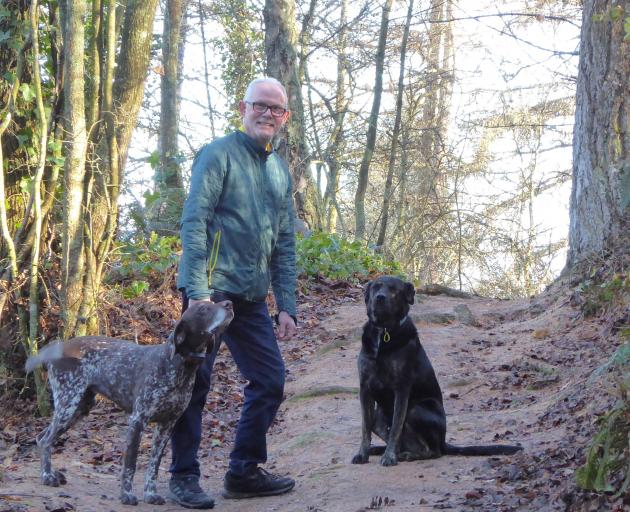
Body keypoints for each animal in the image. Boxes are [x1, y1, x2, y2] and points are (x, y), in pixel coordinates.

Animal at [25, 302, 235, 506]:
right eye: (203, 309)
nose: (229, 303)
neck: (177, 365)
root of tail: (57, 348)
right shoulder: (138, 421)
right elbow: (130, 465)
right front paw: (126, 495)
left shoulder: (167, 425)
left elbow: (154, 466)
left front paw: (150, 494)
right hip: (69, 403)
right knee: (45, 440)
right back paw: (47, 476)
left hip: (79, 408)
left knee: (42, 437)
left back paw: (51, 473)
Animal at [350, 278, 524, 466]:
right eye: (376, 287)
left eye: (394, 289)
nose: (380, 298)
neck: (384, 333)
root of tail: (443, 441)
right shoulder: (365, 388)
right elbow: (365, 428)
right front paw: (363, 454)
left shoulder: (401, 388)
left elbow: (396, 427)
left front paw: (389, 457)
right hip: (379, 419)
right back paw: (389, 451)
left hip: (416, 409)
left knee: (433, 451)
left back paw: (406, 455)